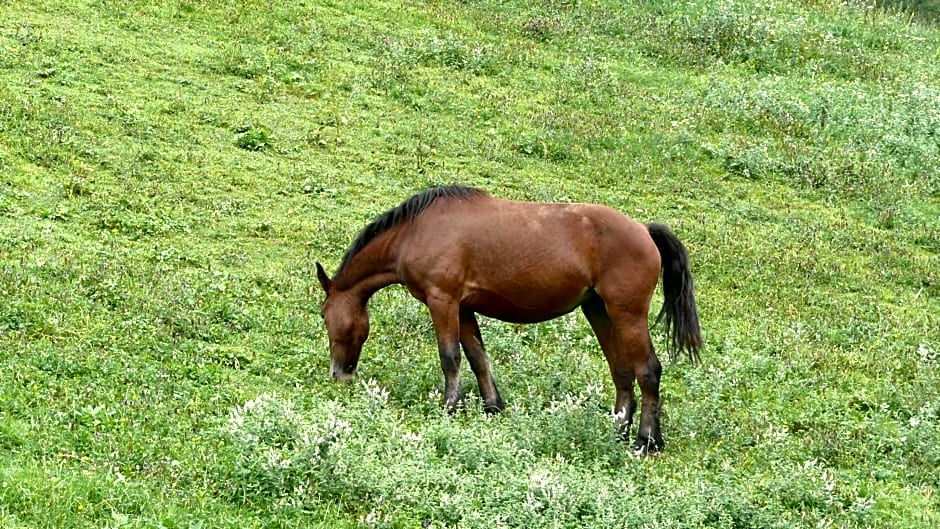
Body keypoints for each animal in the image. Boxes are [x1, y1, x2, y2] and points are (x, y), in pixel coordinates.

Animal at [316, 185, 696, 450]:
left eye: (324, 315)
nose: (338, 374)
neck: (414, 232)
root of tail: (644, 231)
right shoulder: (463, 307)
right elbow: (477, 357)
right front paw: (492, 406)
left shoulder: (443, 301)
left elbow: (450, 357)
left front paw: (450, 406)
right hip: (599, 311)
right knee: (621, 371)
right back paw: (620, 430)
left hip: (627, 314)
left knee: (648, 371)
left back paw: (646, 440)